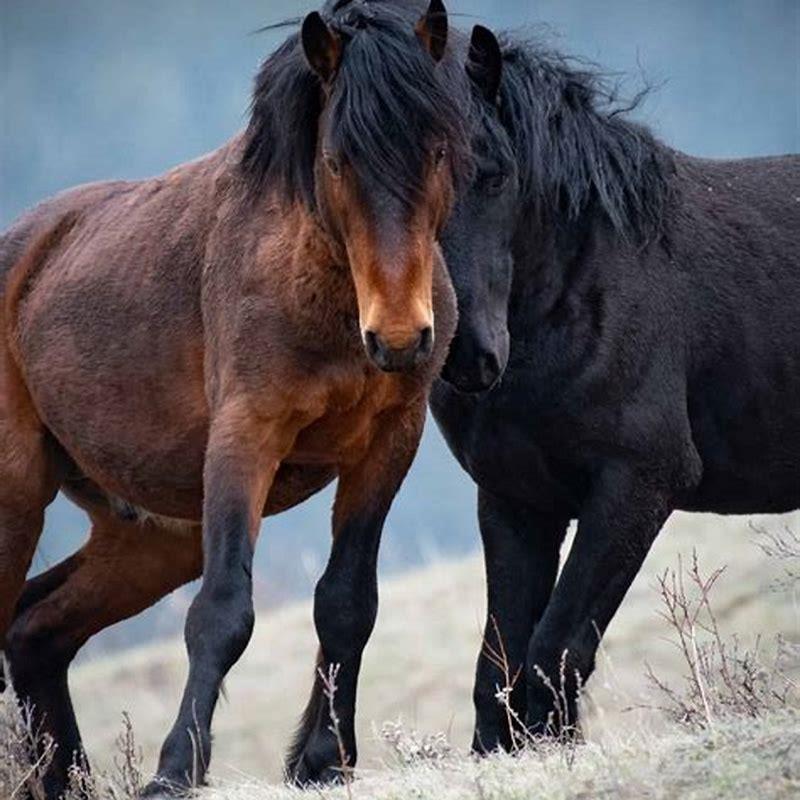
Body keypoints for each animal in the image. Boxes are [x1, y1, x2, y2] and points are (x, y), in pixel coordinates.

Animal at [0, 1, 490, 794]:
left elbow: (347, 602)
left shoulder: (390, 442)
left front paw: (322, 760)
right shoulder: (246, 438)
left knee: (36, 631)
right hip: (18, 496)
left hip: (151, 536)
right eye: (336, 161)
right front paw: (175, 769)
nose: (399, 337)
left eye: (440, 150)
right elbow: (223, 612)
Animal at [431, 34, 800, 752]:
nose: (467, 354)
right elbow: (498, 669)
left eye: (495, 175)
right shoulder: (517, 500)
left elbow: (555, 650)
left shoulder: (638, 484)